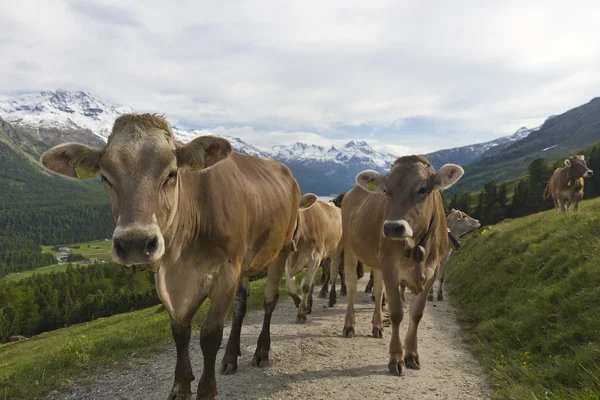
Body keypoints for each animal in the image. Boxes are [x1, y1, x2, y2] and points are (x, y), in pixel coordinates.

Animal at [39, 114, 300, 400]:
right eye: (105, 178)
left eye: (172, 174)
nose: (134, 243)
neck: (180, 257)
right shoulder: (167, 280)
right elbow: (179, 332)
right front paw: (181, 386)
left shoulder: (226, 272)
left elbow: (209, 335)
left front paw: (206, 390)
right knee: (241, 304)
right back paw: (230, 357)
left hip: (281, 246)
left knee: (269, 299)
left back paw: (261, 351)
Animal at [328, 155, 464, 376]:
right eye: (386, 191)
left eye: (423, 189)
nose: (392, 227)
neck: (416, 244)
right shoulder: (390, 266)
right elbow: (397, 312)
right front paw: (396, 358)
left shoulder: (432, 271)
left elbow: (416, 314)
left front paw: (411, 355)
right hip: (349, 247)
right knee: (351, 286)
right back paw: (349, 326)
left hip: (376, 261)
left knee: (377, 288)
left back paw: (377, 326)